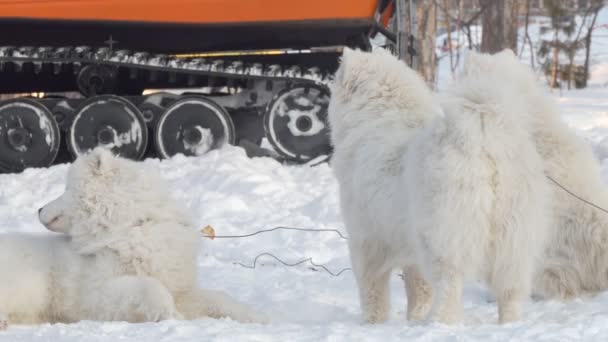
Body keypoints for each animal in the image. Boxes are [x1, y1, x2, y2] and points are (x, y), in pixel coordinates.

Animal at [0, 148, 266, 328]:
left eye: (66, 189)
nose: (38, 209)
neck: (131, 229)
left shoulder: (180, 289)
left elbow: (220, 297)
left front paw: (256, 317)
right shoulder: (95, 294)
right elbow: (149, 286)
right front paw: (169, 315)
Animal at [408, 48, 552, 324]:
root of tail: (487, 145)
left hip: (450, 230)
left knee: (449, 281)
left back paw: (439, 321)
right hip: (515, 232)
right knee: (511, 287)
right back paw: (509, 323)